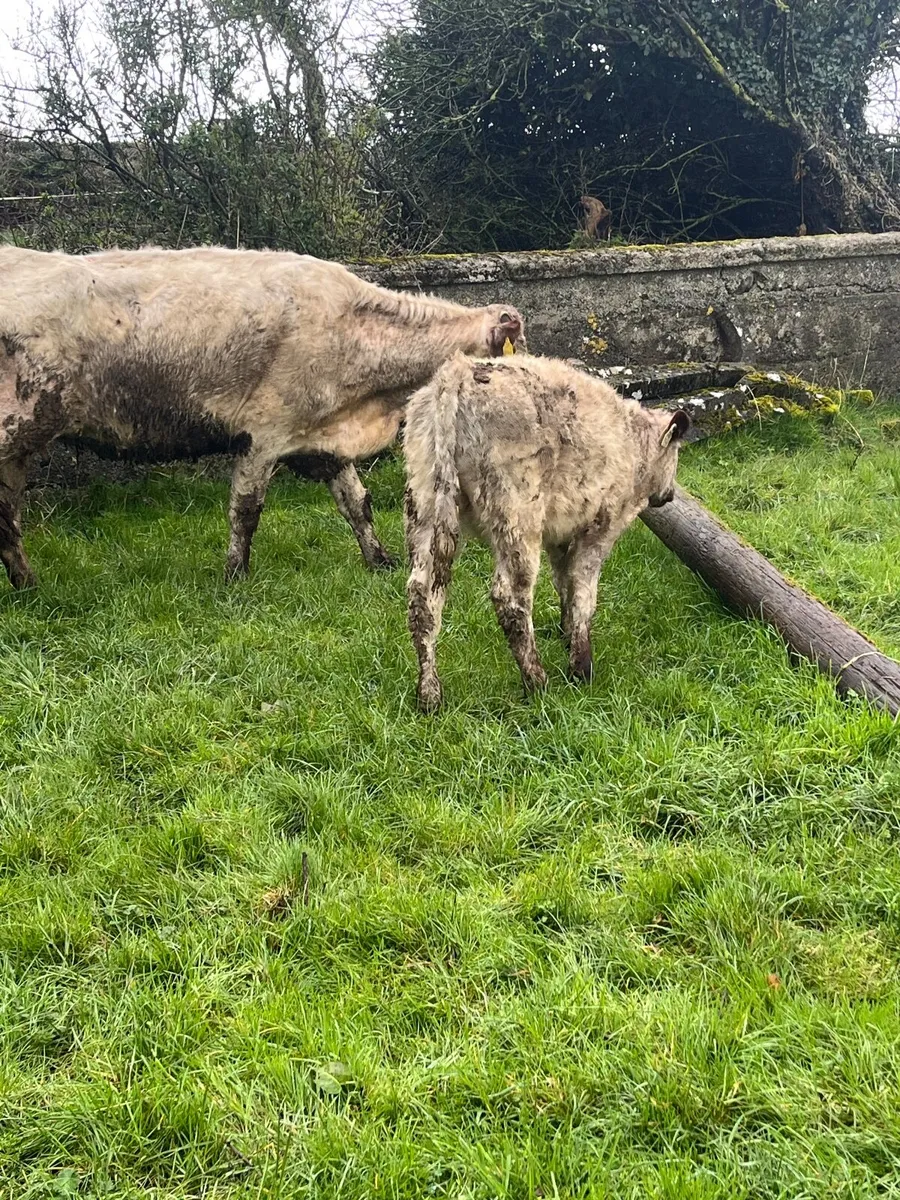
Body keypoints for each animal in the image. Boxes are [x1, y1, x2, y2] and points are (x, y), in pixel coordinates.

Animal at [0, 245, 524, 590]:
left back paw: (27, 585)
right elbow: (245, 510)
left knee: (7, 518)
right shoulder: (266, 433)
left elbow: (358, 504)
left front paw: (379, 560)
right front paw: (235, 577)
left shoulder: (320, 437)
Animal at [403, 352, 690, 712]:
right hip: (516, 512)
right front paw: (581, 666)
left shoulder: (561, 535)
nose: (670, 495)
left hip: (426, 502)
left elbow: (564, 582)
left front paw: (566, 635)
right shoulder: (600, 529)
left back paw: (429, 694)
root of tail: (457, 373)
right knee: (510, 598)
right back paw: (537, 683)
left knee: (422, 596)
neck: (633, 445)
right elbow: (583, 592)